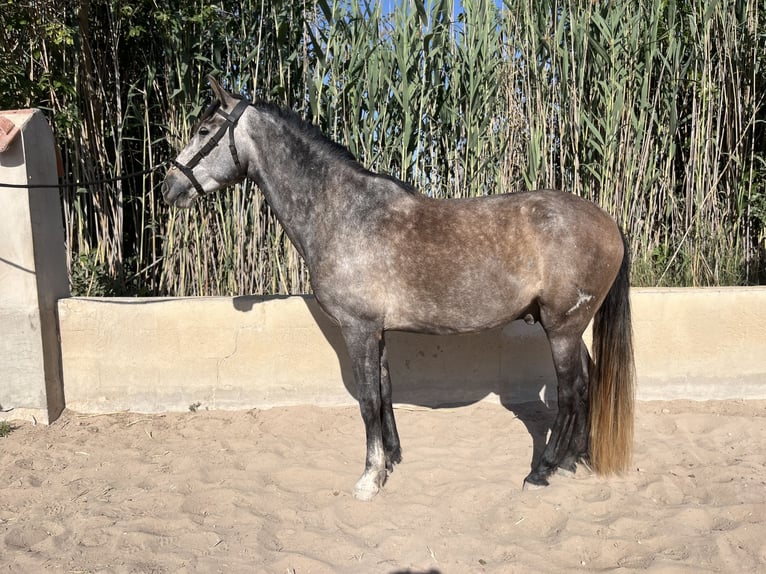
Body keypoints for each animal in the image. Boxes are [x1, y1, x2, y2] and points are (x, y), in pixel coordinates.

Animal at [162, 79, 636, 502]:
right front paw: (391, 459)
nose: (169, 186)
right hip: (572, 329)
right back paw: (572, 462)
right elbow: (385, 393)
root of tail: (607, 222)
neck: (343, 212)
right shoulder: (378, 331)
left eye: (204, 131)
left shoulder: (357, 329)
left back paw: (542, 471)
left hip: (561, 329)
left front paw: (370, 478)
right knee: (587, 385)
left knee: (570, 393)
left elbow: (368, 400)